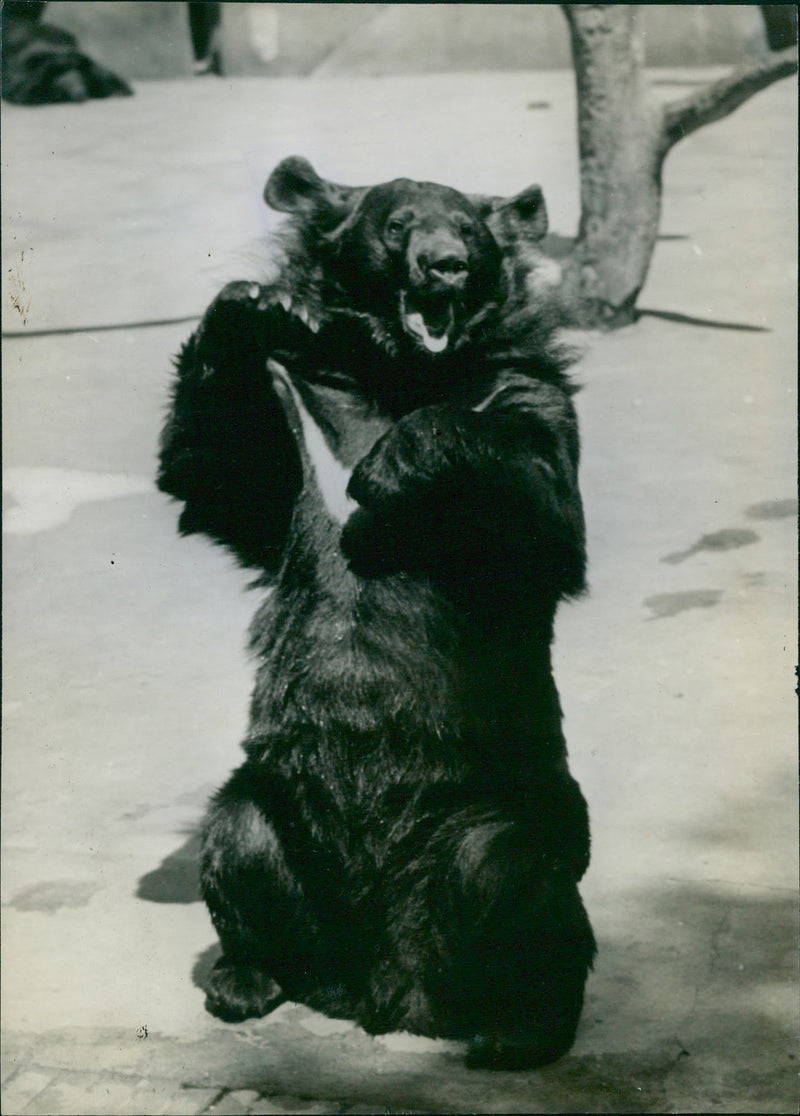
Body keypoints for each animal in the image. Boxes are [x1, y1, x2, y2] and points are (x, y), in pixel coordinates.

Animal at [157, 156, 595, 1071]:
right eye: (396, 227)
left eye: (466, 231)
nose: (446, 268)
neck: (404, 371)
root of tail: (386, 988)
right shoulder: (299, 416)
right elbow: (216, 470)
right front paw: (250, 307)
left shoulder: (526, 387)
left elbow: (546, 509)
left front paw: (388, 468)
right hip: (275, 804)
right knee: (240, 842)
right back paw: (246, 979)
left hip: (496, 809)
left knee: (518, 879)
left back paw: (517, 1028)